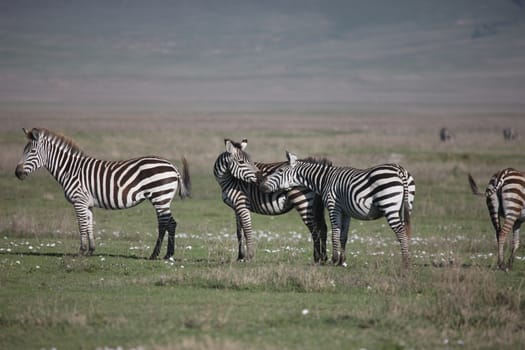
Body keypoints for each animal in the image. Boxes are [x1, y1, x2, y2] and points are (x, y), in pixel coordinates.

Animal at [13, 127, 190, 258]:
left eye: (32, 152)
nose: (17, 173)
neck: (70, 169)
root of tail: (172, 166)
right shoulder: (87, 203)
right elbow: (89, 224)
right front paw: (91, 251)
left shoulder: (79, 200)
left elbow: (81, 226)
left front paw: (81, 252)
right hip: (163, 198)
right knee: (171, 223)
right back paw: (168, 255)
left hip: (160, 196)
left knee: (164, 223)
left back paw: (155, 255)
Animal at [260, 152, 416, 270]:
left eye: (280, 171)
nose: (262, 186)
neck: (324, 180)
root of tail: (400, 170)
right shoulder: (346, 211)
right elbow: (343, 236)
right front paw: (342, 261)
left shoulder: (333, 206)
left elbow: (335, 233)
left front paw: (334, 259)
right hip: (406, 207)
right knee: (406, 231)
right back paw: (408, 259)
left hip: (389, 204)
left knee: (400, 232)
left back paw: (405, 263)